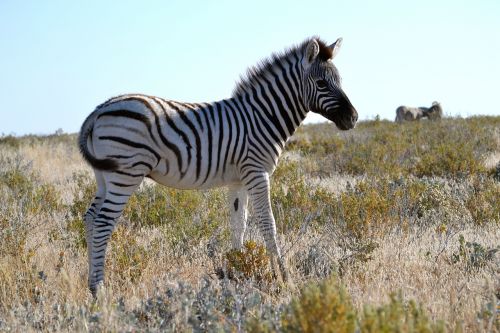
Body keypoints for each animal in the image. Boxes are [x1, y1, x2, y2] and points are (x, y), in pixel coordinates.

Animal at [78, 36, 358, 294]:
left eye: (341, 81)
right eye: (321, 84)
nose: (353, 118)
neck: (263, 116)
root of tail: (99, 110)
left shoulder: (239, 179)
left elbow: (238, 224)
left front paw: (237, 272)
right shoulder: (257, 172)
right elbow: (268, 223)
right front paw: (284, 279)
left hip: (104, 175)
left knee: (90, 218)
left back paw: (90, 285)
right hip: (126, 173)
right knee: (103, 222)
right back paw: (100, 290)